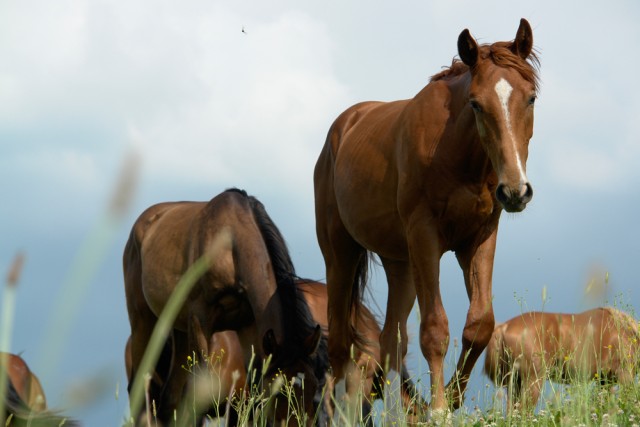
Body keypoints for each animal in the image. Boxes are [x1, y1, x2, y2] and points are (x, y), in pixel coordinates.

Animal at [124, 189, 322, 426]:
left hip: (179, 330)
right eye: (279, 392)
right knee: (139, 389)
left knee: (169, 399)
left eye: (314, 389)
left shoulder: (249, 330)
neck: (231, 243)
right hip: (143, 321)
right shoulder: (200, 320)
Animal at [316, 17, 540, 412]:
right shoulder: (425, 236)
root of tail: (343, 127)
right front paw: (437, 408)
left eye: (530, 98)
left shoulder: (479, 238)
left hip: (400, 265)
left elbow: (479, 324)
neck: (457, 153)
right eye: (476, 104)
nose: (515, 190)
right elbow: (435, 328)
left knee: (391, 341)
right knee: (341, 345)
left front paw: (451, 397)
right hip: (341, 254)